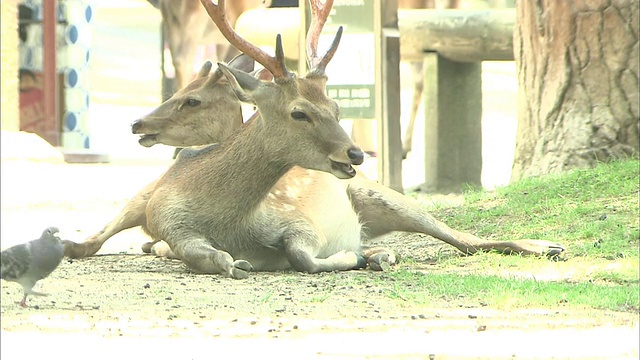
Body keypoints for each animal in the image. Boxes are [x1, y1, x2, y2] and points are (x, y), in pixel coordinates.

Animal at [66, 0, 564, 278]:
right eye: (298, 112)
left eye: (338, 108)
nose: (355, 152)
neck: (227, 221)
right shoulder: (170, 223)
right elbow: (207, 257)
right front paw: (238, 261)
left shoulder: (298, 221)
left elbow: (302, 256)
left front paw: (355, 259)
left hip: (384, 194)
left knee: (466, 239)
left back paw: (548, 245)